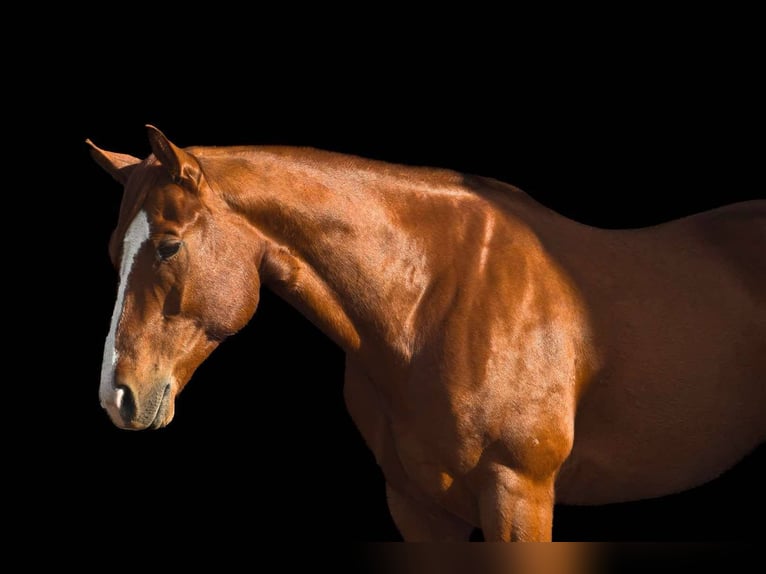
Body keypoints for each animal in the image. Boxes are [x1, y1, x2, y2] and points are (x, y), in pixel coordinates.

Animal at [88, 125, 765, 541]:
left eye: (168, 245)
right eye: (113, 252)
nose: (117, 396)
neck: (431, 304)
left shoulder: (519, 494)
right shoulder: (418, 508)